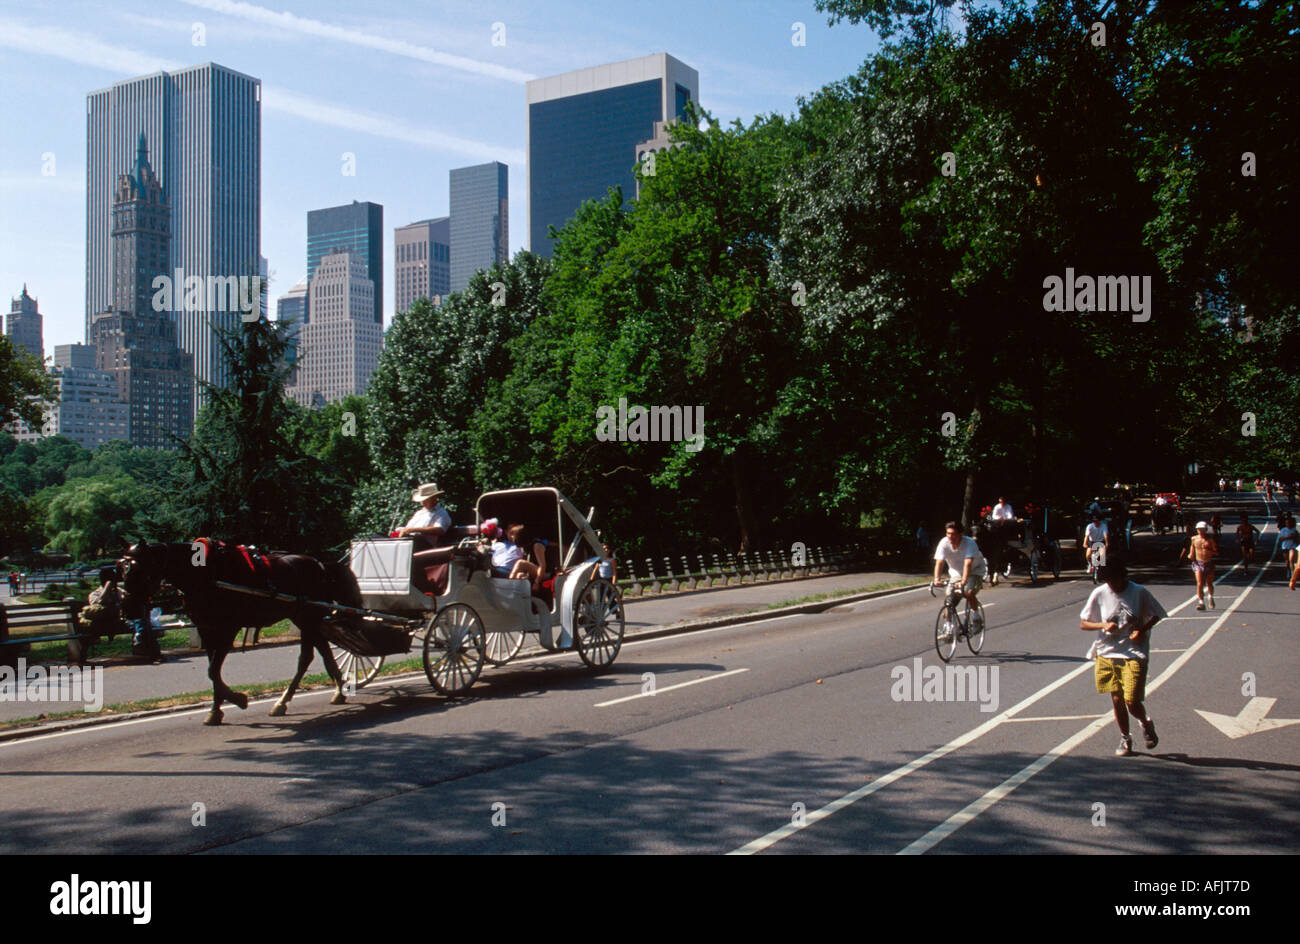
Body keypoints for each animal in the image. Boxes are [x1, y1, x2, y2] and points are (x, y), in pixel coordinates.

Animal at [118, 543, 364, 728]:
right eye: (122, 569)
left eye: (140, 570)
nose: (127, 609)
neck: (205, 573)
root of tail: (321, 564)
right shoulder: (207, 629)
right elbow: (213, 673)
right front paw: (217, 710)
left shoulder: (228, 629)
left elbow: (213, 671)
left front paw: (238, 699)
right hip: (304, 617)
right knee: (320, 653)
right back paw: (334, 690)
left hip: (307, 617)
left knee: (307, 657)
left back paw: (290, 699)